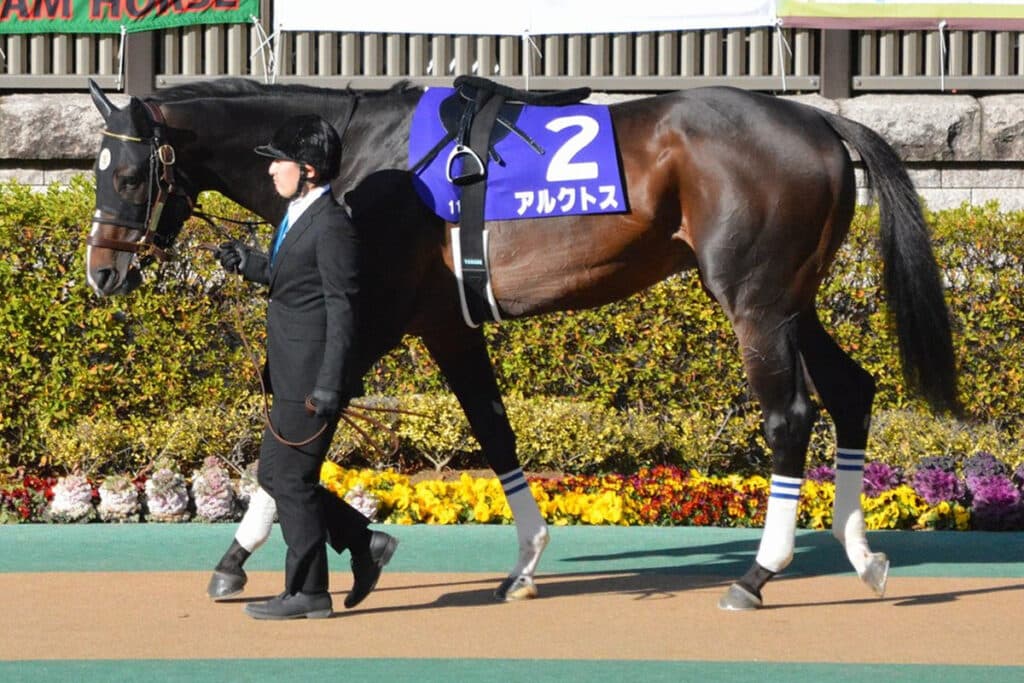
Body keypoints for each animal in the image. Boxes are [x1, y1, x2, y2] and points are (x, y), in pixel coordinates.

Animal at [84, 77, 959, 610]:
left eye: (126, 176)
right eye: (93, 172)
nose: (102, 271)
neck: (362, 155)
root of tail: (819, 118)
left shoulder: (369, 316)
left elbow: (303, 414)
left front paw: (238, 555)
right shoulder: (445, 323)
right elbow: (492, 425)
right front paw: (527, 556)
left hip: (755, 299)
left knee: (790, 416)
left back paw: (757, 572)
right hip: (792, 300)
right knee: (853, 389)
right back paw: (861, 553)